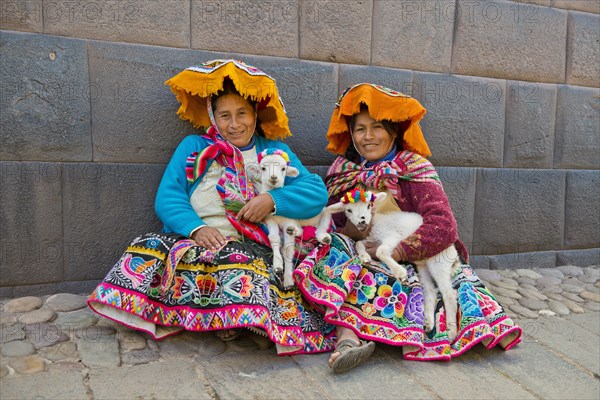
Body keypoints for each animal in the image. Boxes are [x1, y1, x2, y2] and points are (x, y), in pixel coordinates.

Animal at [253, 149, 332, 288]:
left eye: (283, 168)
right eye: (263, 168)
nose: (274, 177)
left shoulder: (289, 219)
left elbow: (288, 249)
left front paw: (288, 279)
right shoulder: (270, 220)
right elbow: (273, 238)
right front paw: (278, 265)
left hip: (325, 214)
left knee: (321, 227)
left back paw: (324, 237)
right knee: (301, 230)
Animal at [328, 191, 460, 340]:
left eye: (369, 205)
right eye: (349, 210)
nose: (362, 221)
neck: (373, 225)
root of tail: (453, 251)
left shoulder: (391, 236)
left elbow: (380, 251)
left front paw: (400, 272)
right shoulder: (371, 239)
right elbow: (359, 243)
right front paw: (365, 257)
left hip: (438, 260)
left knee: (449, 293)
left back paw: (451, 332)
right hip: (423, 265)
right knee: (431, 290)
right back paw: (428, 322)